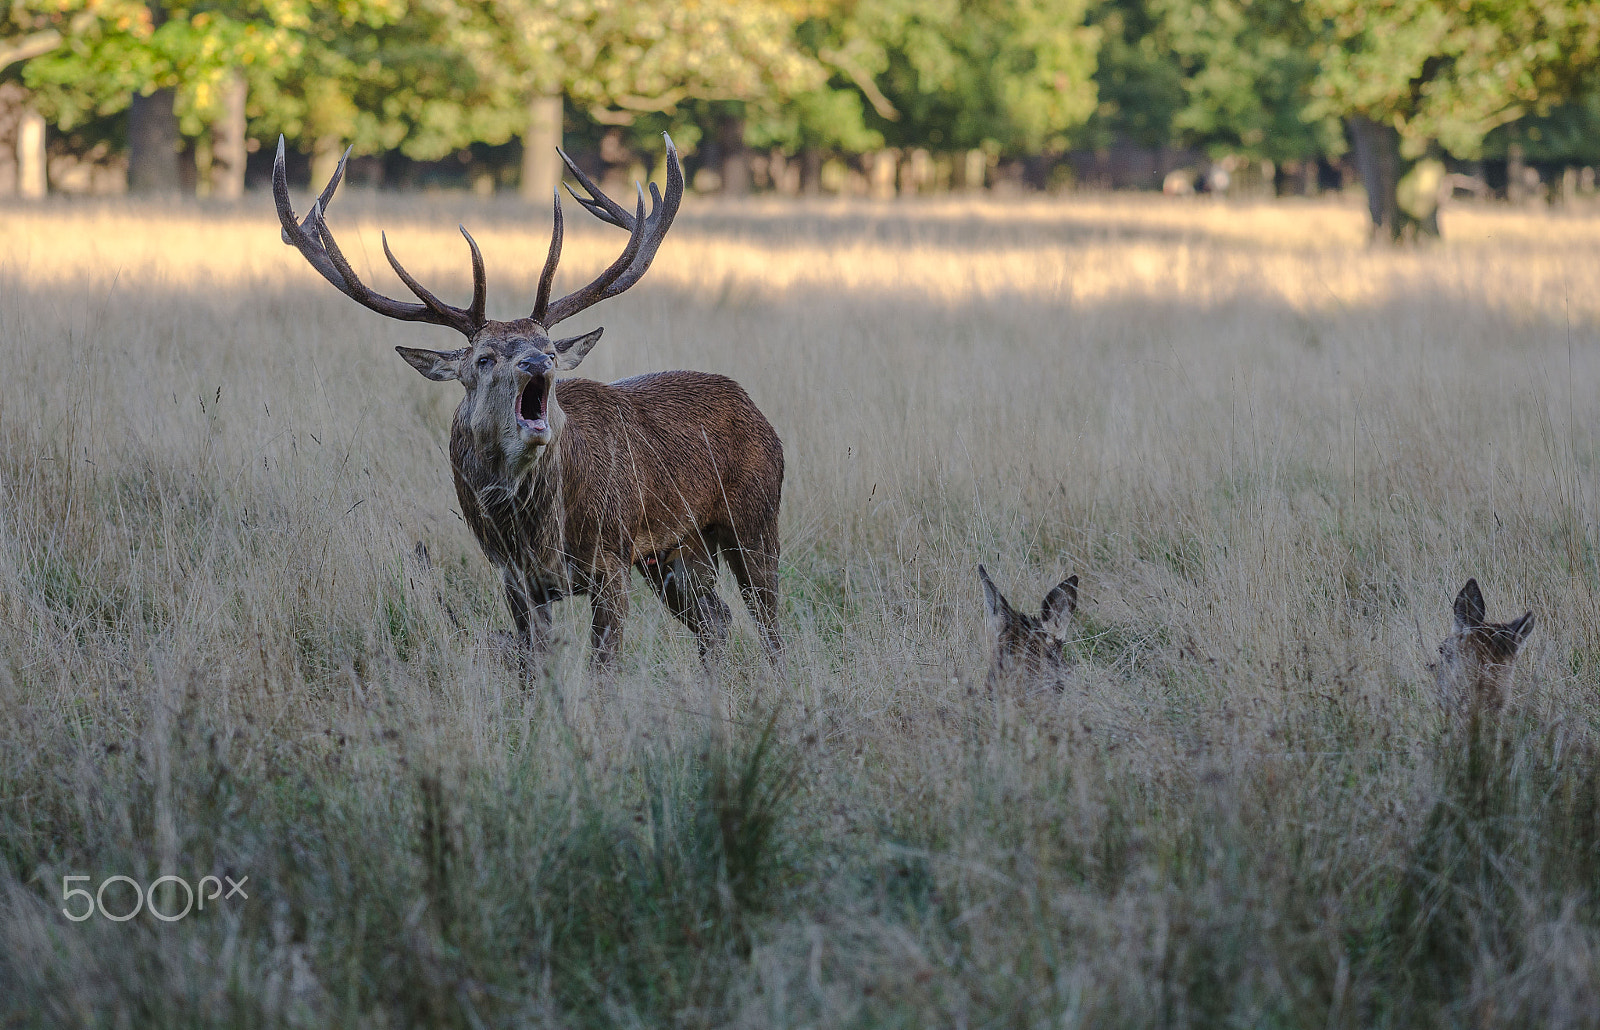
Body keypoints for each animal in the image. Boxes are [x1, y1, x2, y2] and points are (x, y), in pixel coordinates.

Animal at [272, 134, 783, 671]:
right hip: (678, 550)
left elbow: (604, 670)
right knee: (716, 620)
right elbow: (533, 669)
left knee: (768, 626)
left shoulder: (612, 557)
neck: (537, 532)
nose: (538, 363)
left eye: (551, 347)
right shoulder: (513, 577)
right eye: (484, 358)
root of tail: (754, 408)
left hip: (754, 517)